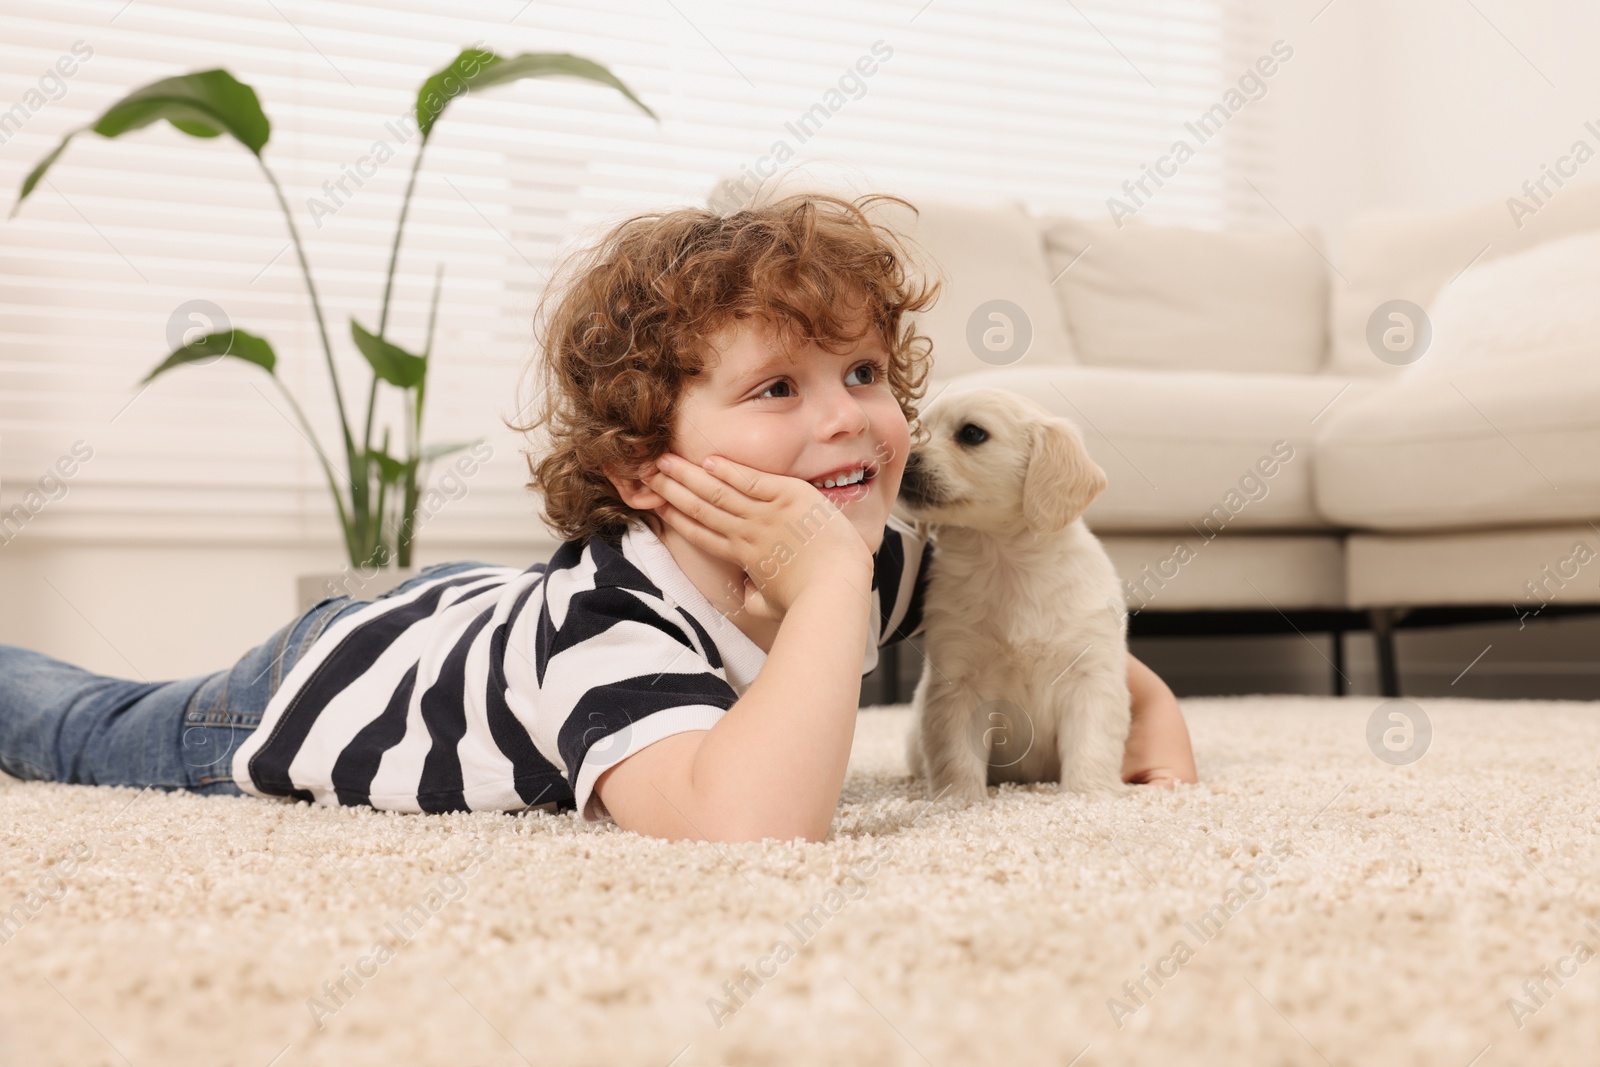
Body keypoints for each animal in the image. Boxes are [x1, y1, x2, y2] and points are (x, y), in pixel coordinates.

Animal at [896, 385, 1132, 799]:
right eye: (919, 430)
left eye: (972, 433)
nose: (904, 457)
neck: (1004, 560)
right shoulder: (957, 681)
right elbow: (955, 755)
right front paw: (959, 800)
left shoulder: (1091, 677)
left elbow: (1092, 747)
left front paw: (1090, 795)